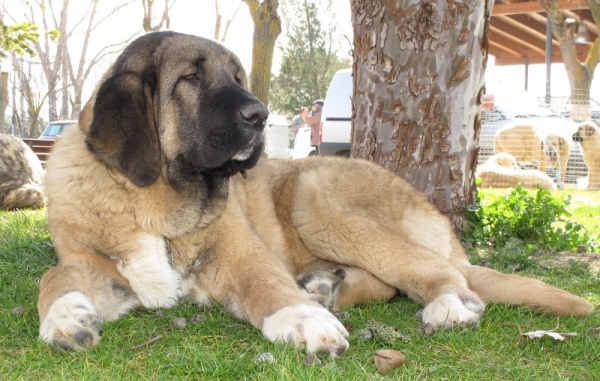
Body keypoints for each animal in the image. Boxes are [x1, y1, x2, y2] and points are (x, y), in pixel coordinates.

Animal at [38, 31, 596, 354]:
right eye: (190, 78)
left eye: (238, 77)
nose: (260, 114)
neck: (152, 202)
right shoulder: (95, 264)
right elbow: (54, 275)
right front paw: (66, 316)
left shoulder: (244, 256)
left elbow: (267, 286)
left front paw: (303, 320)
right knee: (391, 281)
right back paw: (328, 288)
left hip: (314, 196)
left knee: (436, 272)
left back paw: (445, 305)